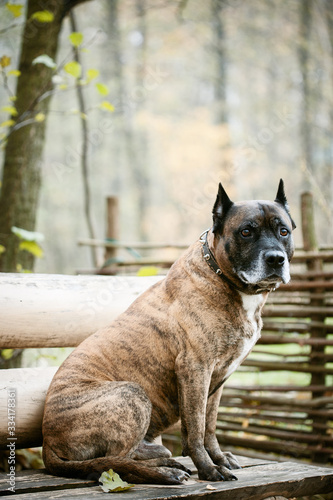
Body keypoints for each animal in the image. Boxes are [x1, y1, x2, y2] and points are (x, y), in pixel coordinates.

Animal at [42, 180, 294, 484]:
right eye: (246, 232)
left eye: (283, 231)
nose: (276, 259)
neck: (222, 276)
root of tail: (47, 442)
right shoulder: (194, 369)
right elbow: (195, 429)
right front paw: (208, 469)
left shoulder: (218, 378)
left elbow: (209, 426)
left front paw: (219, 459)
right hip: (131, 393)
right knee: (116, 461)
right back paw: (164, 471)